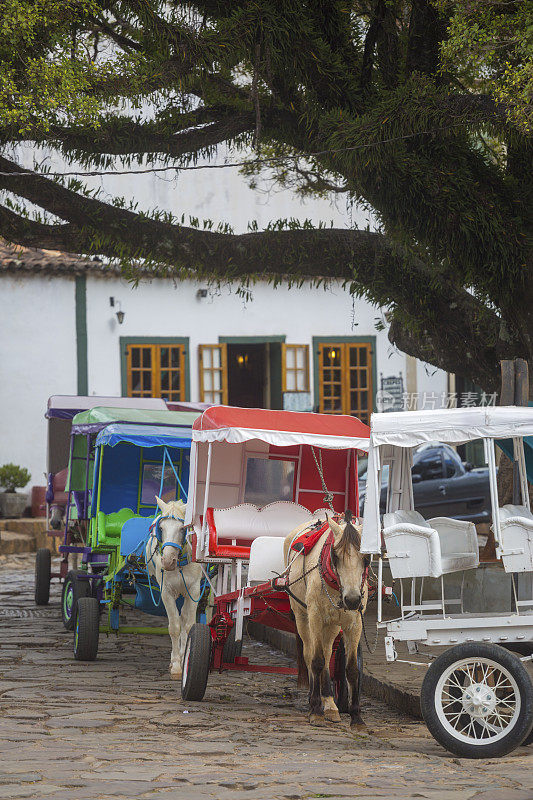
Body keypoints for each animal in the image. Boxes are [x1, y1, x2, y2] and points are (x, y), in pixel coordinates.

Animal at [145, 496, 204, 680]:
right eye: (161, 528)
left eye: (182, 529)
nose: (167, 561)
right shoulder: (166, 592)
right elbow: (174, 627)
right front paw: (177, 665)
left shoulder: (194, 590)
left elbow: (188, 624)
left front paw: (186, 657)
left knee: (184, 617)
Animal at [284, 510, 368, 728]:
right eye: (335, 556)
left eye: (366, 559)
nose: (352, 599)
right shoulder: (315, 616)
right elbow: (317, 661)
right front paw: (315, 710)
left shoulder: (354, 623)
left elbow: (351, 669)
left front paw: (356, 717)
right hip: (302, 615)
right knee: (309, 654)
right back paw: (315, 700)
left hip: (332, 625)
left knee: (328, 651)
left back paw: (329, 703)